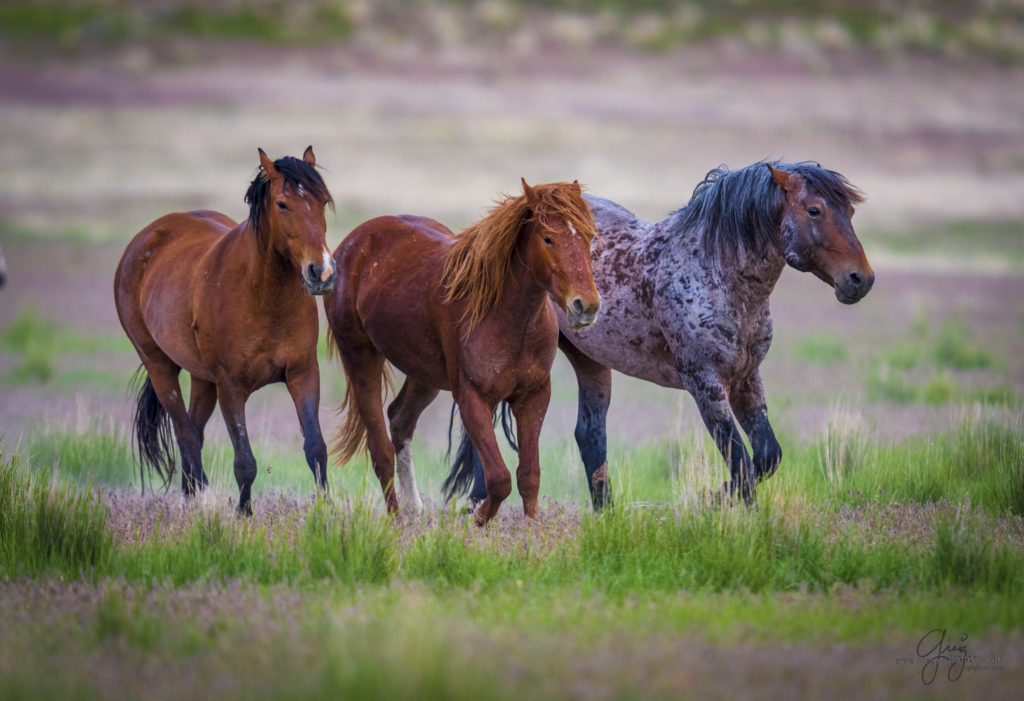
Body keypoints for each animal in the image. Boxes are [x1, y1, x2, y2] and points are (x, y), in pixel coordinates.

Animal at [114, 147, 336, 514]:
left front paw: (326, 511)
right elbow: (245, 462)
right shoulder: (231, 387)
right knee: (186, 435)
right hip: (160, 366)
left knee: (194, 430)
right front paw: (243, 514)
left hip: (203, 378)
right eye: (282, 204)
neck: (264, 296)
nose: (322, 272)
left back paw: (191, 495)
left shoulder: (303, 374)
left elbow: (316, 448)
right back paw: (199, 500)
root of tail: (145, 239)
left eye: (323, 201)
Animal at [325, 179, 601, 525]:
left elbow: (529, 476)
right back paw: (397, 520)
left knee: (399, 420)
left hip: (424, 376)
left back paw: (415, 510)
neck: (508, 316)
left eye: (589, 236)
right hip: (361, 359)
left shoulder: (533, 396)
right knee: (380, 450)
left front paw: (532, 528)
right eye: (548, 238)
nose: (586, 306)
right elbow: (498, 478)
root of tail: (351, 244)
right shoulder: (472, 397)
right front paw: (477, 521)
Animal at [448, 161, 874, 508]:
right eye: (814, 209)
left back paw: (607, 515)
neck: (718, 274)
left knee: (589, 434)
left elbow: (766, 457)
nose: (861, 279)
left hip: (591, 360)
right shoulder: (705, 382)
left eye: (851, 211)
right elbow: (741, 464)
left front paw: (715, 497)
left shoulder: (747, 378)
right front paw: (724, 508)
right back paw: (480, 502)